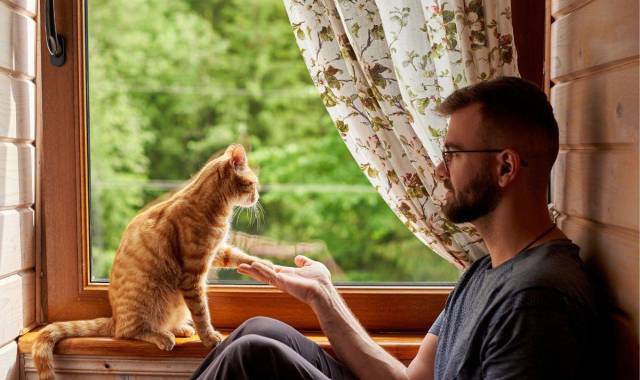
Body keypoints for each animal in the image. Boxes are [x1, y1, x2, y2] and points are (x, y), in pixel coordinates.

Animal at [31, 144, 270, 378]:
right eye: (254, 184)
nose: (258, 197)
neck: (213, 206)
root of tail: (114, 318)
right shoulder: (193, 274)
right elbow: (201, 311)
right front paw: (209, 337)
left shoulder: (216, 251)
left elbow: (239, 256)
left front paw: (265, 265)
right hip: (150, 300)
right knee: (128, 332)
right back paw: (162, 336)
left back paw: (179, 328)